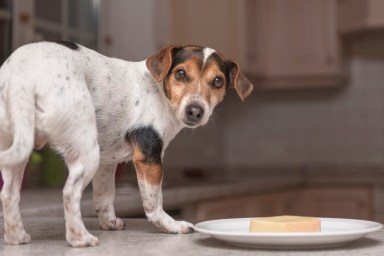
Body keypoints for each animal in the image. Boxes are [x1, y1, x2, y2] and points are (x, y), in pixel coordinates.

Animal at [0, 41, 254, 247]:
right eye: (181, 74)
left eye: (218, 81)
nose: (195, 111)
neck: (160, 91)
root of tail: (23, 77)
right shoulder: (149, 159)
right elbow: (154, 203)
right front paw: (170, 226)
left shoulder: (106, 163)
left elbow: (104, 196)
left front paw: (109, 222)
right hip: (86, 151)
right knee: (69, 193)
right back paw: (80, 239)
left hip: (19, 151)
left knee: (9, 194)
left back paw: (16, 237)